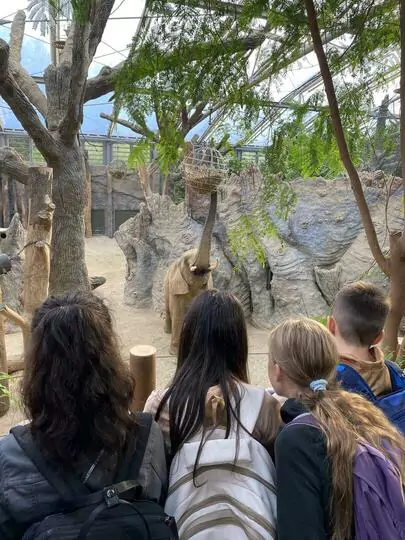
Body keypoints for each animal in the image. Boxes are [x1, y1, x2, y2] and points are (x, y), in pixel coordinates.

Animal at [163, 190, 218, 354]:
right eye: (187, 261)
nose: (214, 191)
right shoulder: (176, 288)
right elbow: (177, 313)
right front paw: (174, 352)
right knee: (168, 309)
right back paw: (166, 331)